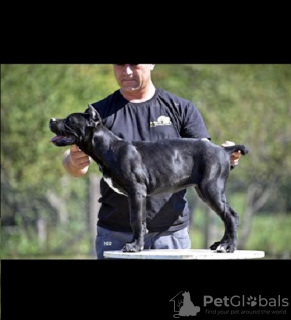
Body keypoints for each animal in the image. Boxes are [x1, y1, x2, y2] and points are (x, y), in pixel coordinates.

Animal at [49, 105, 249, 252]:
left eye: (69, 120)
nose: (51, 119)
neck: (108, 147)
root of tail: (223, 150)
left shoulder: (136, 192)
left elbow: (135, 220)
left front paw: (134, 247)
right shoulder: (137, 196)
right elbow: (141, 220)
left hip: (211, 188)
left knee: (231, 216)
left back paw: (228, 246)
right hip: (205, 191)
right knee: (226, 216)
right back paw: (220, 244)